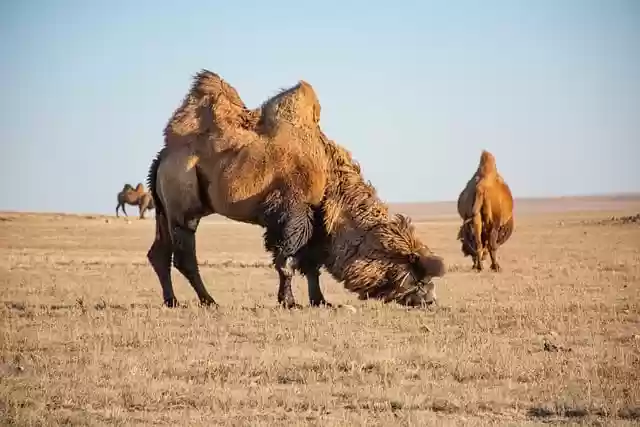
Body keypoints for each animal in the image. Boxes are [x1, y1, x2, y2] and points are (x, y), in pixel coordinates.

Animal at [146, 69, 445, 309]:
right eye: (418, 274)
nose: (431, 300)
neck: (330, 178)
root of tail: (163, 157)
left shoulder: (316, 219)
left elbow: (311, 265)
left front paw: (320, 301)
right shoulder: (294, 214)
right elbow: (287, 262)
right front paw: (289, 302)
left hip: (163, 207)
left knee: (159, 253)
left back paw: (172, 300)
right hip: (184, 204)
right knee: (184, 256)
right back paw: (209, 301)